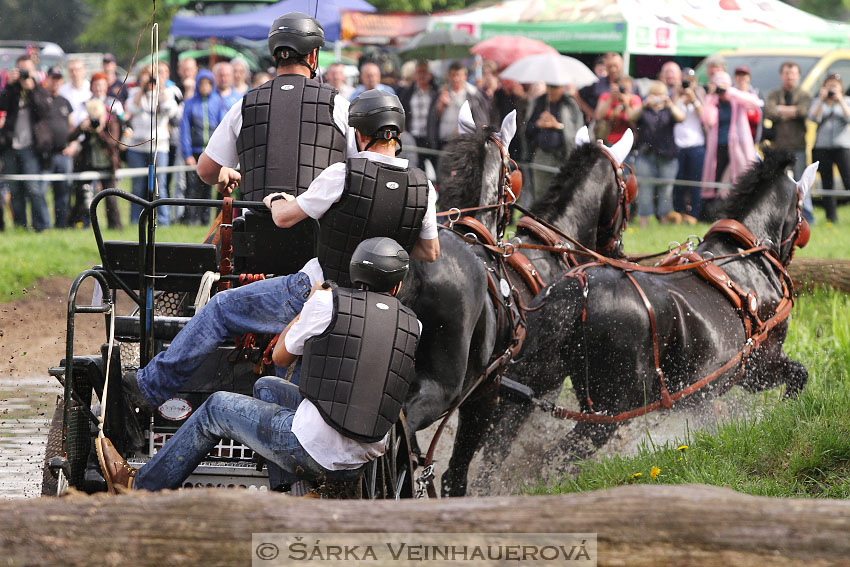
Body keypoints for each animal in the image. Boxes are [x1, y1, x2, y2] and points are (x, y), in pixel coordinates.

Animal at [474, 149, 812, 486]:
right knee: (554, 459)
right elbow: (799, 374)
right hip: (608, 411)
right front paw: (783, 414)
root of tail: (575, 291)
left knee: (495, 446)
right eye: (801, 214)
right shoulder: (760, 366)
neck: (746, 258)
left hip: (534, 381)